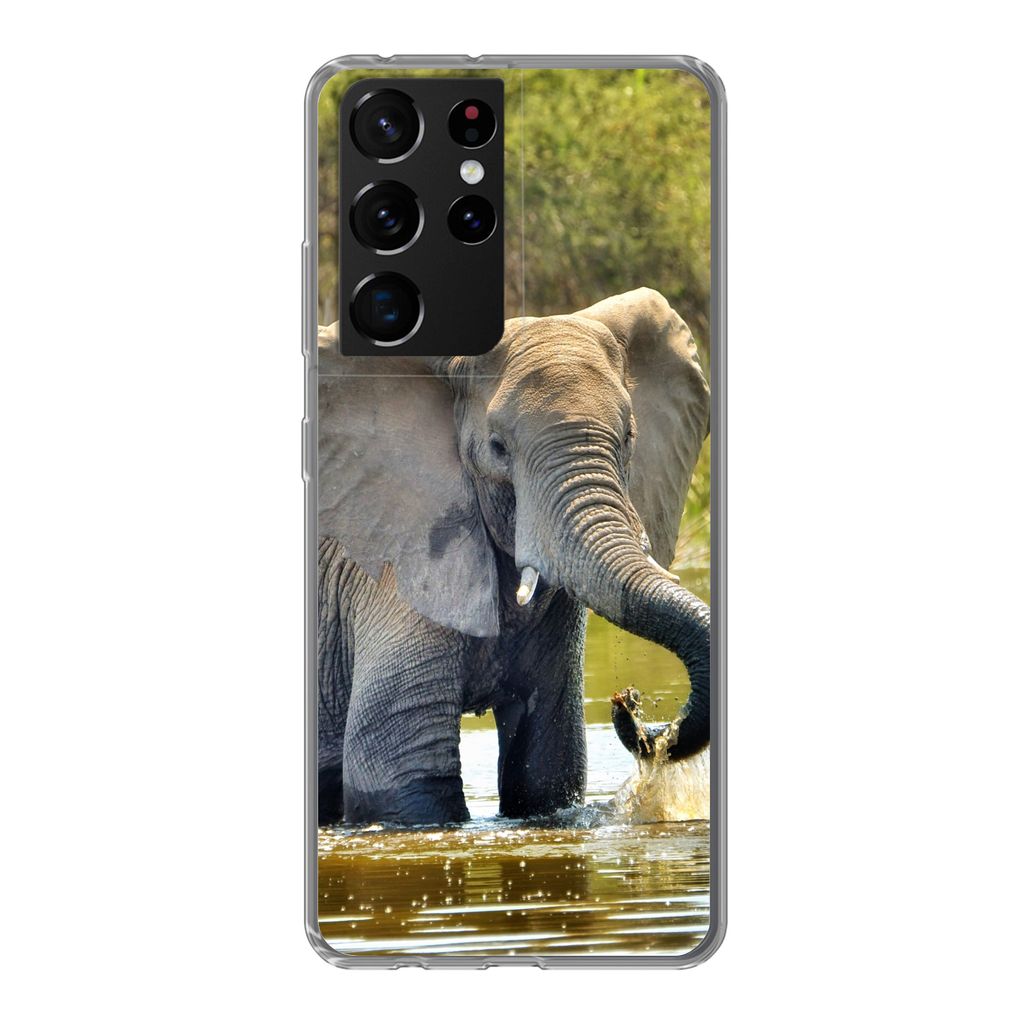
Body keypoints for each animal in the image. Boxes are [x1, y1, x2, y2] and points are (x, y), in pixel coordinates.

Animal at [317, 287, 711, 826]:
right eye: (498, 447)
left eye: (629, 436)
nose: (626, 702)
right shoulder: (392, 565)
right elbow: (402, 776)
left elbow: (546, 770)